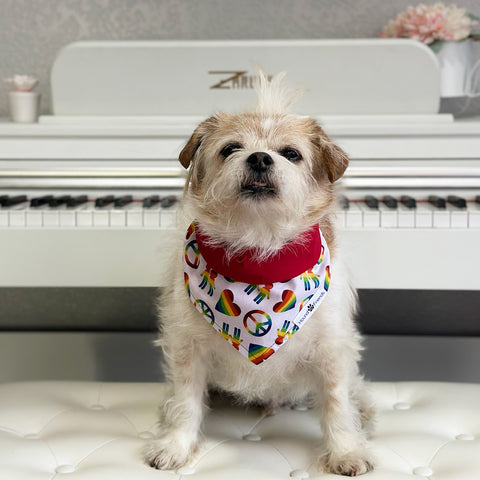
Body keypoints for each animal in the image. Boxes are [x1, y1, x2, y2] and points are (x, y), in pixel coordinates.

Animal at [143, 72, 376, 476]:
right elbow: (185, 402)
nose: (260, 158)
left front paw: (346, 451)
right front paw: (175, 445)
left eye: (291, 154)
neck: (258, 251)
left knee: (353, 390)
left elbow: (337, 403)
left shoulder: (332, 350)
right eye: (231, 148)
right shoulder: (187, 348)